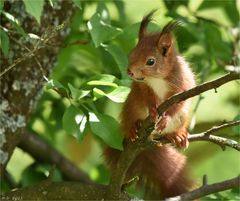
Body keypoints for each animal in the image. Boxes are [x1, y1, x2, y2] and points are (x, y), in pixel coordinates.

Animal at [104, 11, 195, 199]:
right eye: (132, 52)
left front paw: (165, 118)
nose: (130, 71)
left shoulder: (183, 86)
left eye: (151, 61)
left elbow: (177, 103)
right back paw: (134, 128)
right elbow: (147, 98)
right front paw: (153, 111)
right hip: (130, 107)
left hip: (182, 118)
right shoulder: (142, 88)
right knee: (130, 122)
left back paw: (177, 136)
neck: (156, 79)